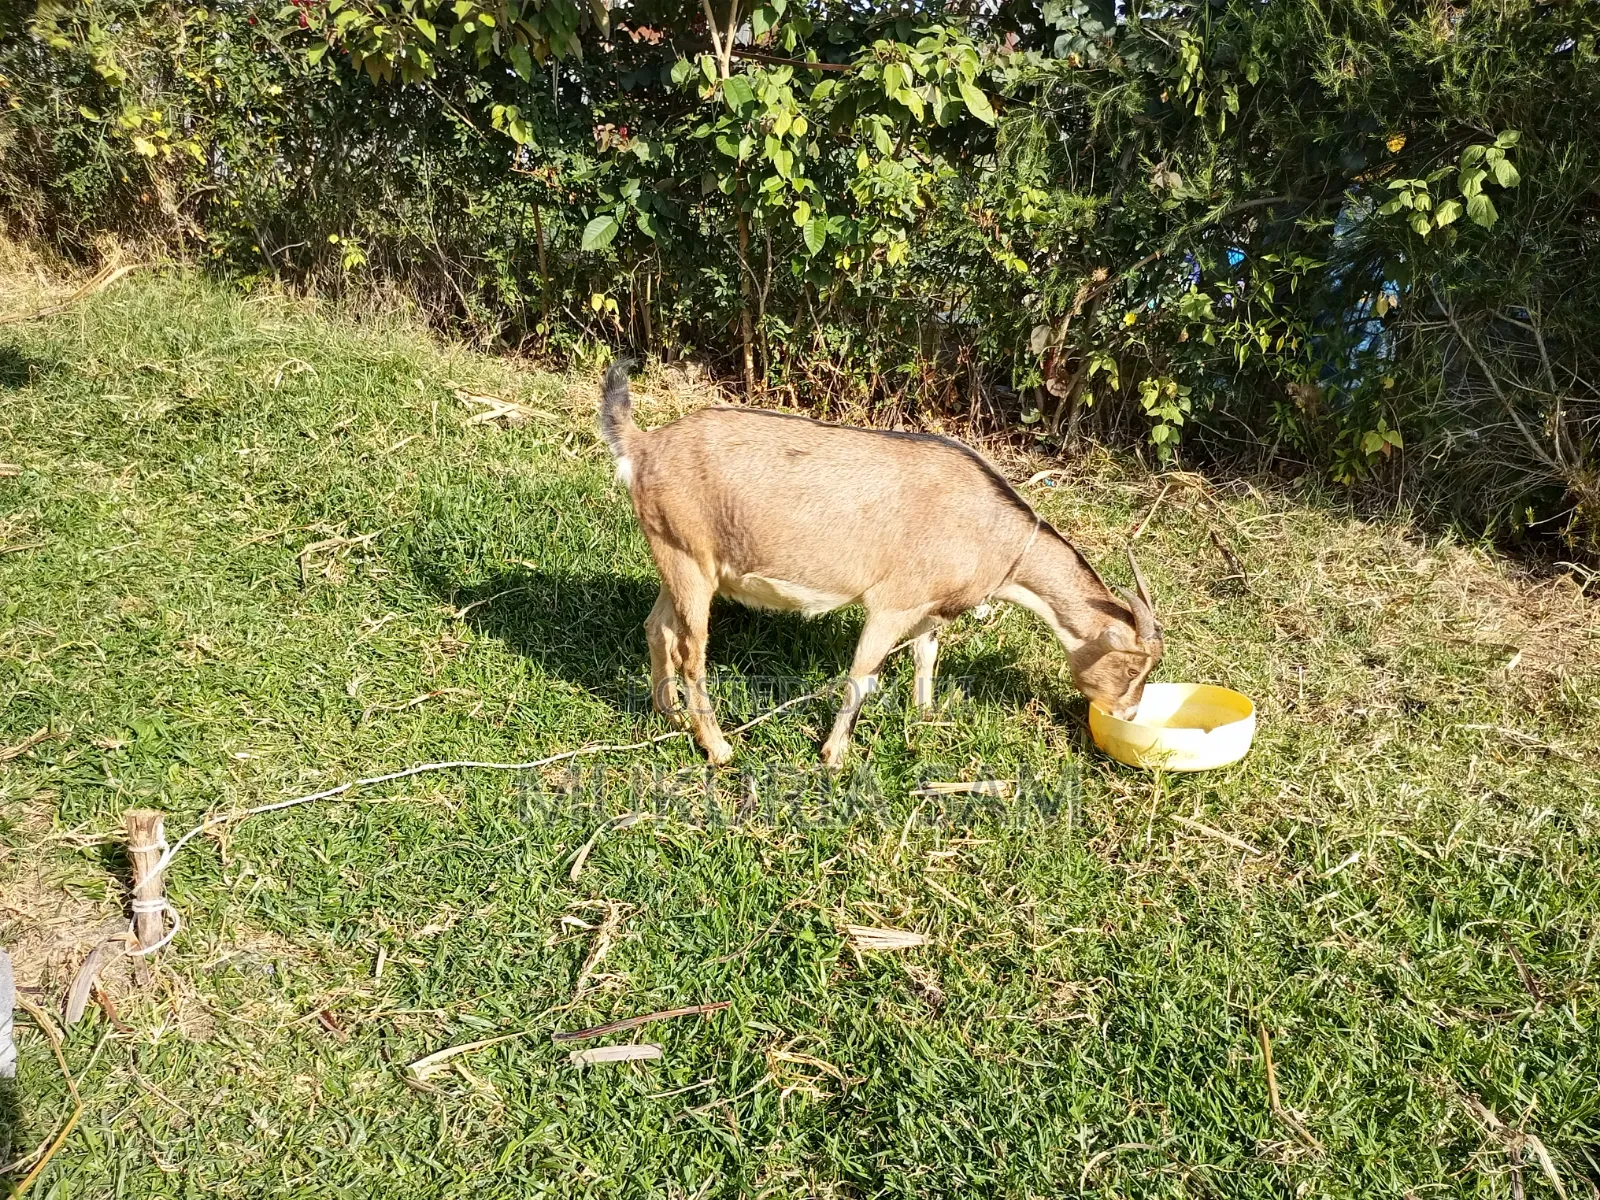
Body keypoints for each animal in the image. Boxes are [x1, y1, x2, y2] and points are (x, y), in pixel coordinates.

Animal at [599, 360, 1163, 766]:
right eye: (1133, 665)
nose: (1130, 711)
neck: (993, 536)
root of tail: (643, 446)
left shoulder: (930, 608)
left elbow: (925, 657)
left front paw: (926, 715)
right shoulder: (893, 602)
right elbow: (863, 673)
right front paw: (833, 756)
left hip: (675, 555)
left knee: (656, 628)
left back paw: (669, 714)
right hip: (688, 558)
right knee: (691, 653)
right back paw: (716, 747)